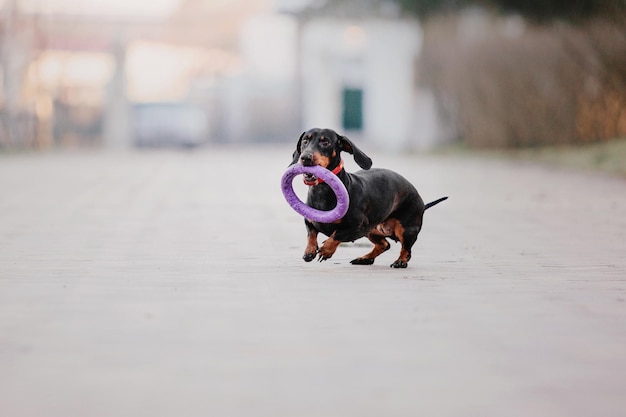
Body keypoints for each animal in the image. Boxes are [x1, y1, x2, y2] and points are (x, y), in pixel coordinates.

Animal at [290, 127, 446, 268]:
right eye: (305, 141)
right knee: (384, 244)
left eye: (326, 142)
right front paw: (309, 252)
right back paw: (364, 259)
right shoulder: (309, 221)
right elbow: (311, 235)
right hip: (372, 231)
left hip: (406, 229)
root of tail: (422, 202)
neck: (322, 191)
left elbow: (337, 234)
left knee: (406, 249)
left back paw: (400, 261)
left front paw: (326, 250)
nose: (305, 158)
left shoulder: (357, 225)